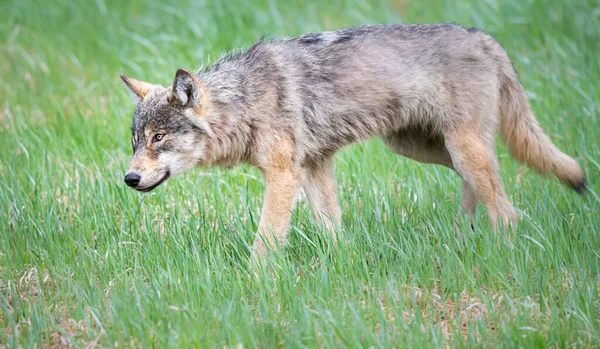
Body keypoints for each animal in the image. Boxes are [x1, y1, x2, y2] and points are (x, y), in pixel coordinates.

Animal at [119, 23, 584, 260]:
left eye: (159, 138)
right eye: (136, 141)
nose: (129, 179)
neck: (244, 99)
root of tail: (484, 37)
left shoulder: (284, 175)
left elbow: (265, 241)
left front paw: (256, 284)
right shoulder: (314, 167)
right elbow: (331, 228)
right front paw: (341, 264)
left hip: (459, 148)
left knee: (507, 211)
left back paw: (501, 249)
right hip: (420, 147)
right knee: (487, 188)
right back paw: (462, 234)